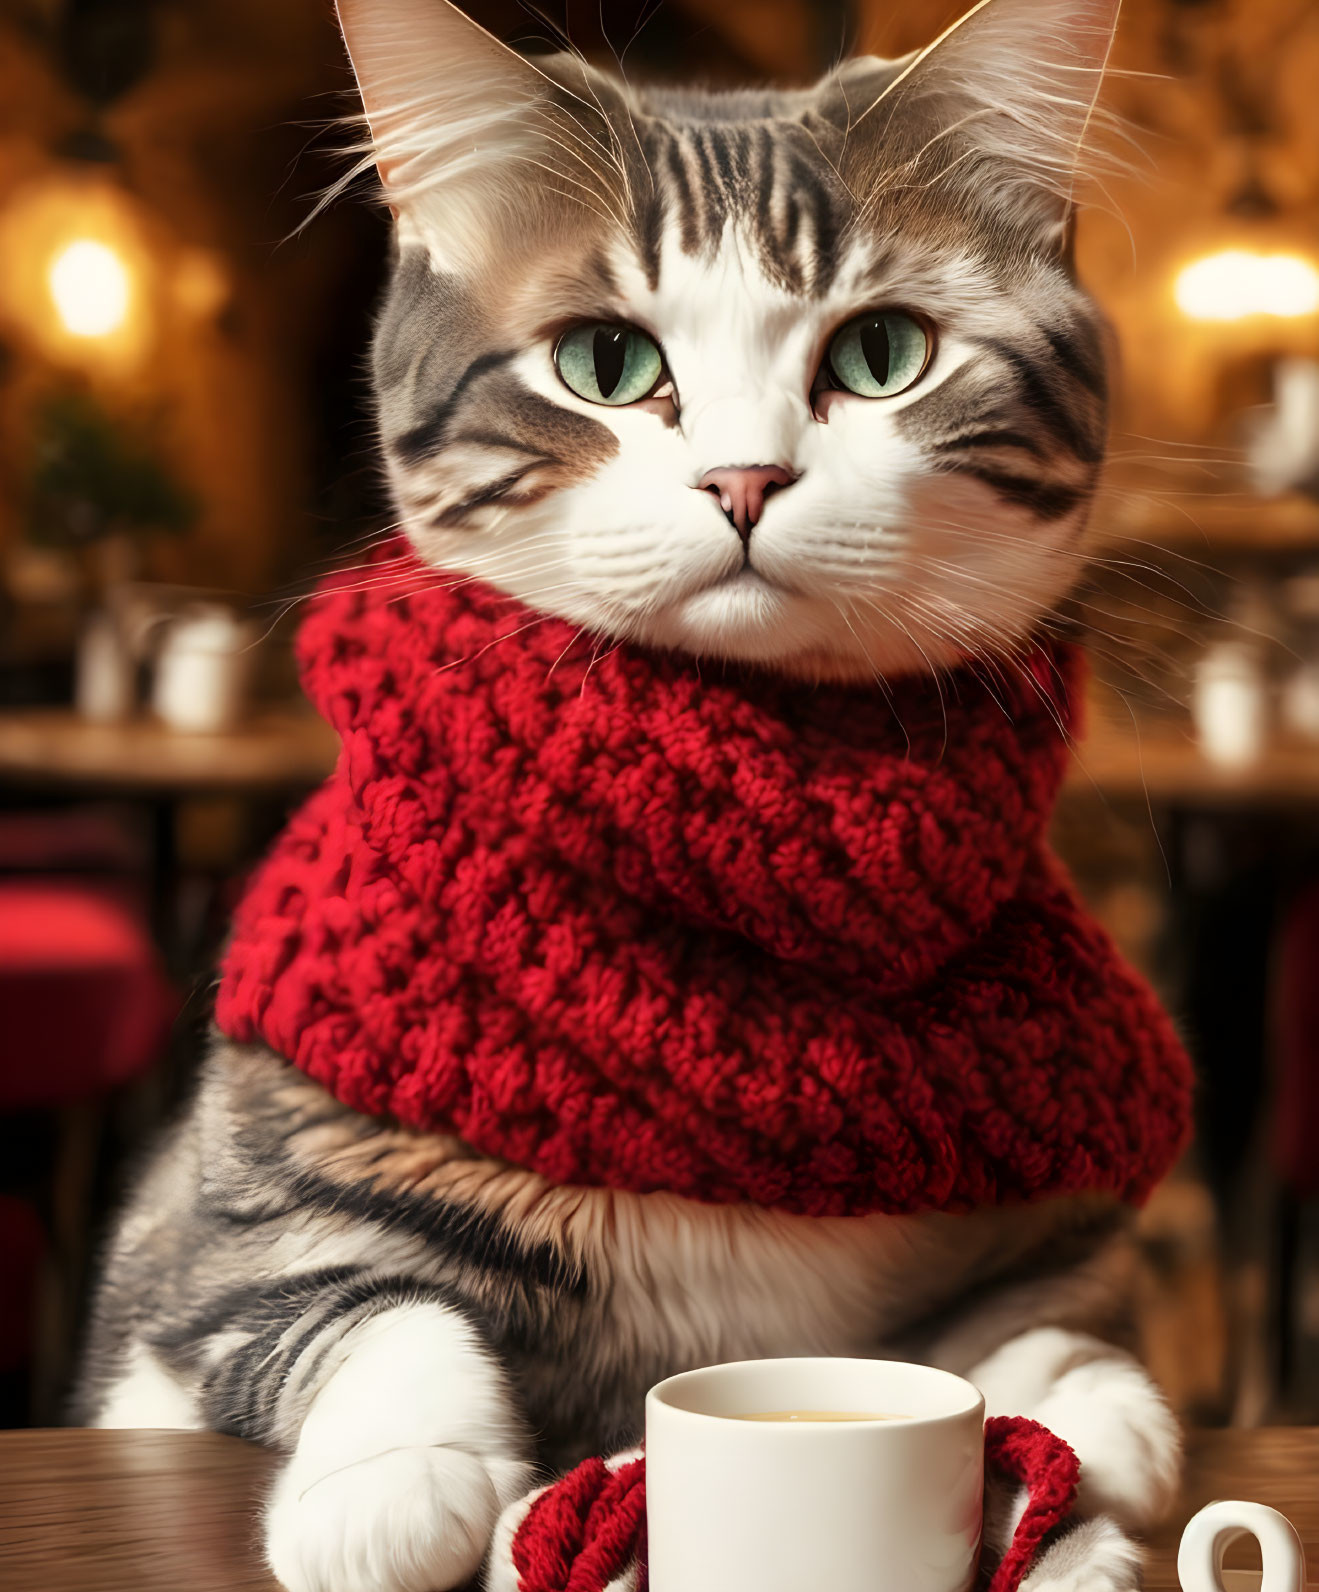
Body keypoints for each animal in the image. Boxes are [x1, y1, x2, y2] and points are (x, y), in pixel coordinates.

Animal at [79, 3, 1183, 1592]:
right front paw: (393, 1477)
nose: (743, 478)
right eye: (603, 361)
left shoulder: (1047, 1221)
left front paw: (1085, 1428)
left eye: (883, 352)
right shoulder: (191, 1249)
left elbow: (1045, 1307)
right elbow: (346, 1296)